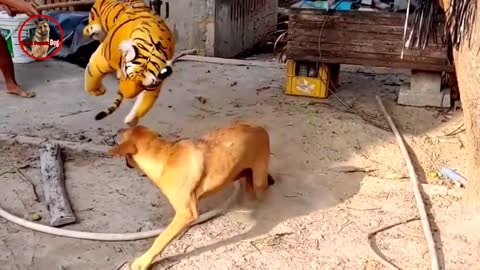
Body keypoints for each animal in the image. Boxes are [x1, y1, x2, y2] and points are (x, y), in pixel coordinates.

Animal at [108, 123, 274, 270]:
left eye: (123, 133)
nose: (116, 130)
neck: (164, 157)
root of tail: (258, 127)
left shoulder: (186, 214)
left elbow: (161, 238)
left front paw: (144, 262)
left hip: (259, 178)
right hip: (242, 170)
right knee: (248, 181)